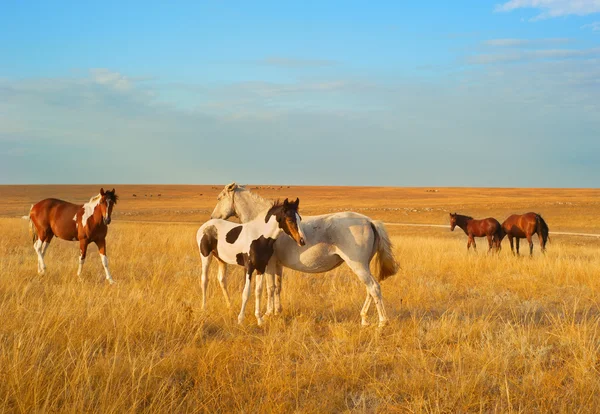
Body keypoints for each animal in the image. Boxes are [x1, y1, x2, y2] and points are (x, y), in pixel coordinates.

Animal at [198, 198, 304, 326]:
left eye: (300, 218)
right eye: (290, 219)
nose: (302, 241)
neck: (260, 237)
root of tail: (205, 226)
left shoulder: (261, 267)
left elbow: (258, 291)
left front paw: (259, 319)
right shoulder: (248, 267)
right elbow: (246, 292)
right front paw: (240, 319)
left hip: (221, 259)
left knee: (222, 280)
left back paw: (229, 306)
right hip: (205, 257)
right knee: (204, 280)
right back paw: (204, 308)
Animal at [210, 183, 398, 328]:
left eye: (219, 198)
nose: (212, 217)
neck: (264, 226)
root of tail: (370, 221)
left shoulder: (269, 264)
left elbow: (269, 288)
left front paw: (268, 313)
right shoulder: (278, 265)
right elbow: (278, 287)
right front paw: (277, 311)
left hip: (358, 265)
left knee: (373, 288)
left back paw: (382, 322)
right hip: (363, 266)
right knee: (370, 289)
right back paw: (364, 319)